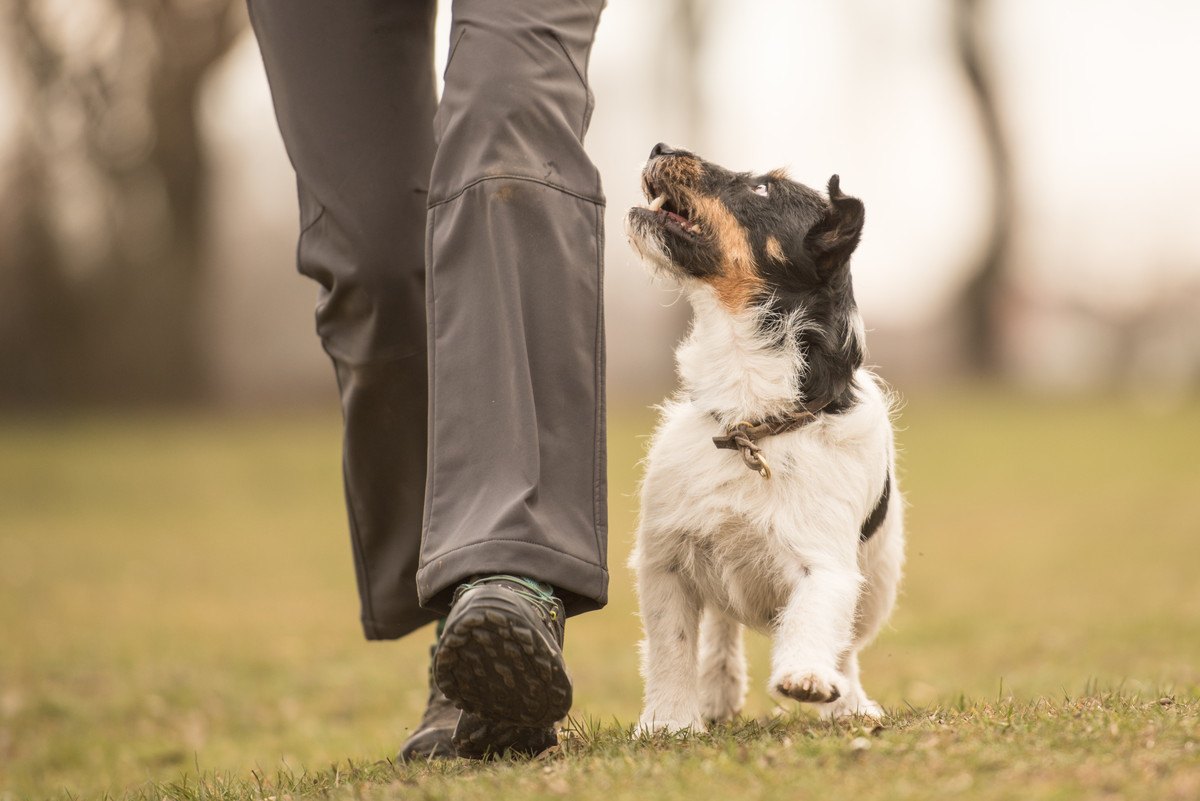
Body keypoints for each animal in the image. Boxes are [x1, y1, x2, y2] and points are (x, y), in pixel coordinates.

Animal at [628, 143, 902, 733]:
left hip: (876, 582)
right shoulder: (664, 558)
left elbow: (815, 616)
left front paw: (808, 679)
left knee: (846, 645)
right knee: (721, 625)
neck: (750, 419)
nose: (660, 147)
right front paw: (670, 721)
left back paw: (849, 702)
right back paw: (718, 688)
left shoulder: (825, 562)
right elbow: (671, 646)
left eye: (762, 189)